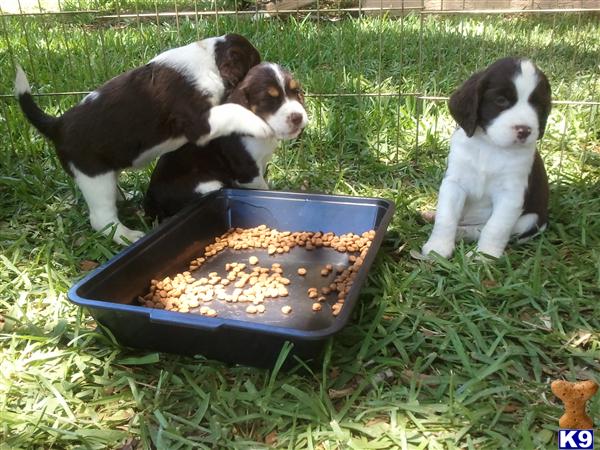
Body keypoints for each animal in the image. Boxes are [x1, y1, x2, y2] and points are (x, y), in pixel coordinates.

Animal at [15, 34, 270, 246]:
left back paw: (124, 198)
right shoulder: (199, 121)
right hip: (93, 175)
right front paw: (259, 124)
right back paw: (126, 236)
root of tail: (57, 125)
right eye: (254, 63)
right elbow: (232, 111)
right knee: (101, 218)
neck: (209, 58)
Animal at [143, 62, 308, 221]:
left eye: (296, 91)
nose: (297, 117)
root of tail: (149, 203)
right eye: (268, 100)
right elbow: (261, 187)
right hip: (209, 185)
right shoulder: (247, 172)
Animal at [420, 58, 552, 258]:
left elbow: (496, 227)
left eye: (537, 105)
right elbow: (446, 218)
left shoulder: (511, 194)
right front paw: (438, 247)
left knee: (482, 228)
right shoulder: (455, 183)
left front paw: (484, 256)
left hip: (530, 220)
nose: (524, 130)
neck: (490, 146)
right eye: (501, 100)